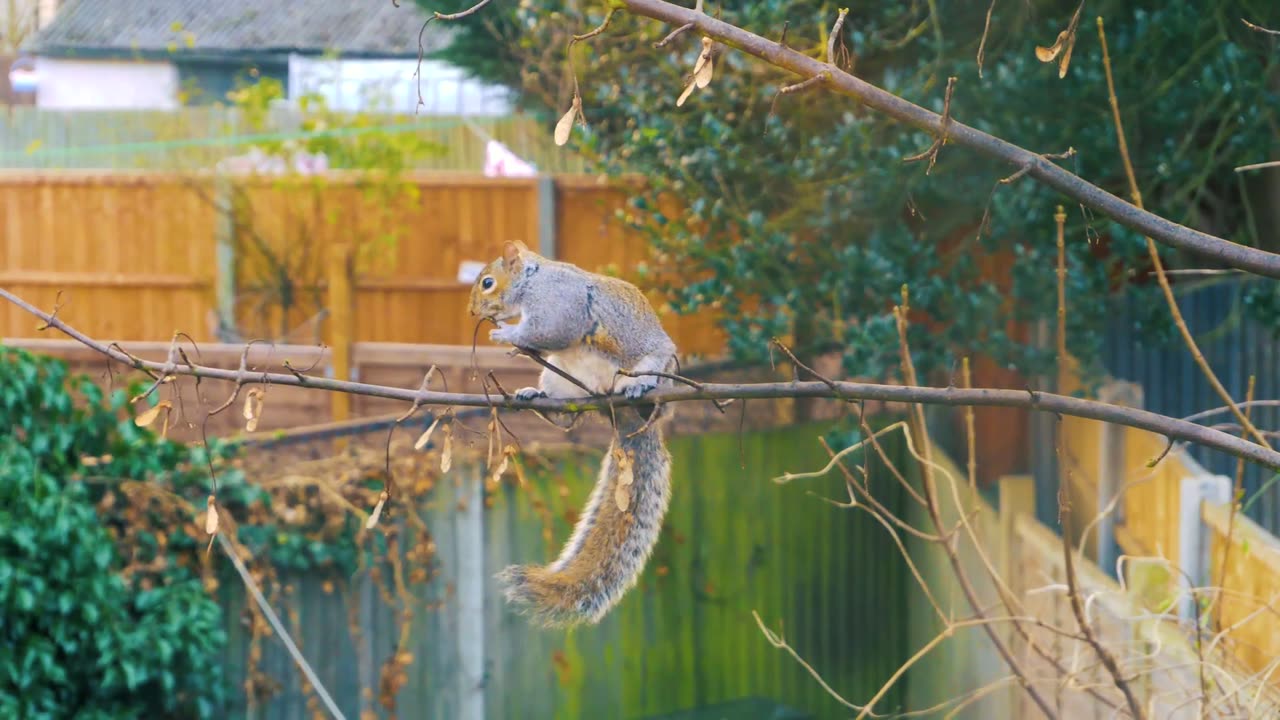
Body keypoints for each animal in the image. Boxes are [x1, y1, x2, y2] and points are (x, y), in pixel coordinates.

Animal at [468, 238, 680, 625]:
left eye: (487, 282)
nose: (473, 310)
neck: (534, 278)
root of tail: (619, 411)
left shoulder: (558, 304)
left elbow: (549, 330)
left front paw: (505, 334)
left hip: (659, 370)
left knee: (651, 390)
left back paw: (639, 390)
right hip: (558, 377)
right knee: (567, 418)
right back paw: (538, 399)